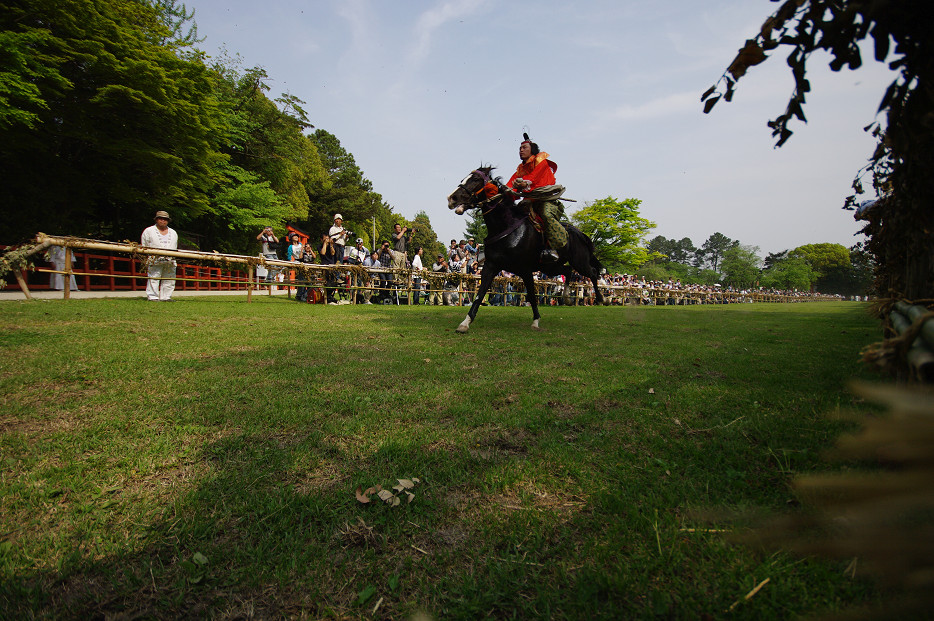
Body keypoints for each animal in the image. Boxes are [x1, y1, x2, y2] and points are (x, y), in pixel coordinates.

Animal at [448, 163, 608, 330]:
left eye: (476, 179)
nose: (452, 198)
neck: (506, 227)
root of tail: (578, 232)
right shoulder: (491, 265)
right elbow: (480, 293)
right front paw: (465, 322)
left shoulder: (525, 269)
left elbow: (531, 294)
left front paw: (536, 321)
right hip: (549, 267)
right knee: (568, 270)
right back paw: (567, 297)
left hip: (579, 262)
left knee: (592, 272)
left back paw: (600, 298)